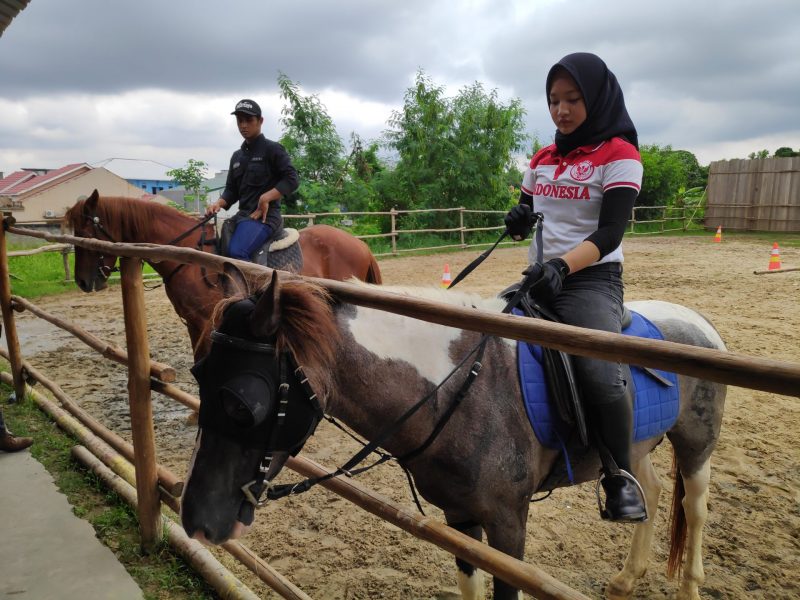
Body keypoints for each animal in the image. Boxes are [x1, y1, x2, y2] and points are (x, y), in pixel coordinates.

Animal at [62, 189, 382, 356]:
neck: (188, 256)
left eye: (87, 233)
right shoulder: (193, 322)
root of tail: (360, 245)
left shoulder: (208, 320)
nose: (83, 281)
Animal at [183, 274, 732, 600]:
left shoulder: (508, 524)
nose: (196, 522)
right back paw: (626, 576)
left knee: (695, 507)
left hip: (695, 445)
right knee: (651, 491)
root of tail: (700, 321)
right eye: (197, 374)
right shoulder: (459, 517)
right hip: (633, 449)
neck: (458, 388)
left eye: (241, 403)